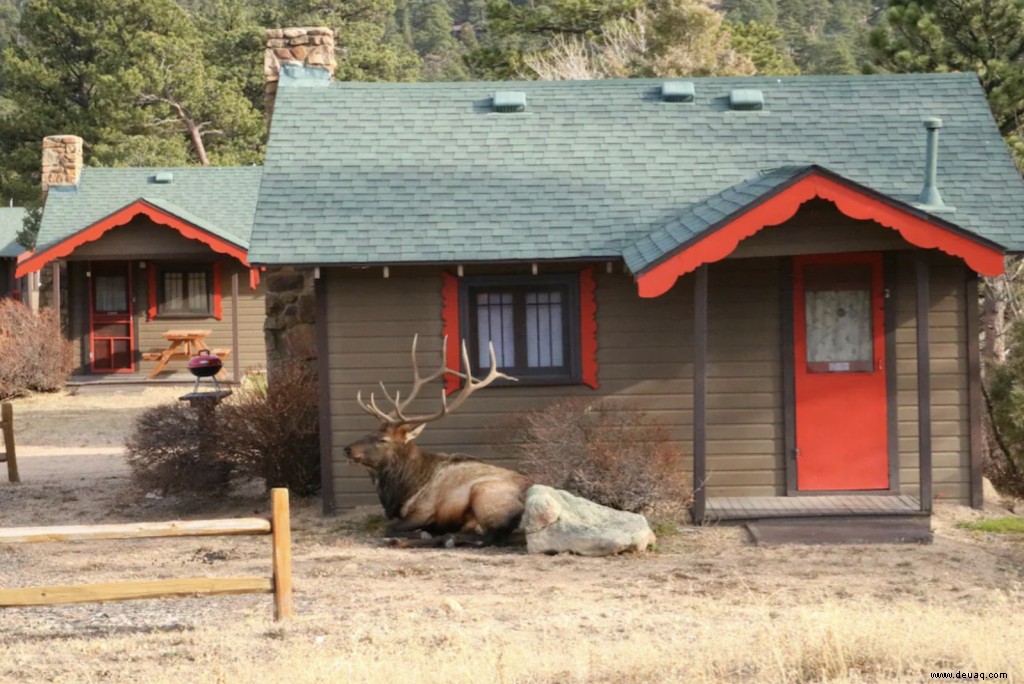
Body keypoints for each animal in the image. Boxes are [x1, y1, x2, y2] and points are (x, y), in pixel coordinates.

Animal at [348, 331, 532, 544]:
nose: (347, 449)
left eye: (383, 440)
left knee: (490, 536)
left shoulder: (424, 510)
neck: (403, 490)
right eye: (369, 433)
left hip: (484, 494)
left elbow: (389, 528)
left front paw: (420, 533)